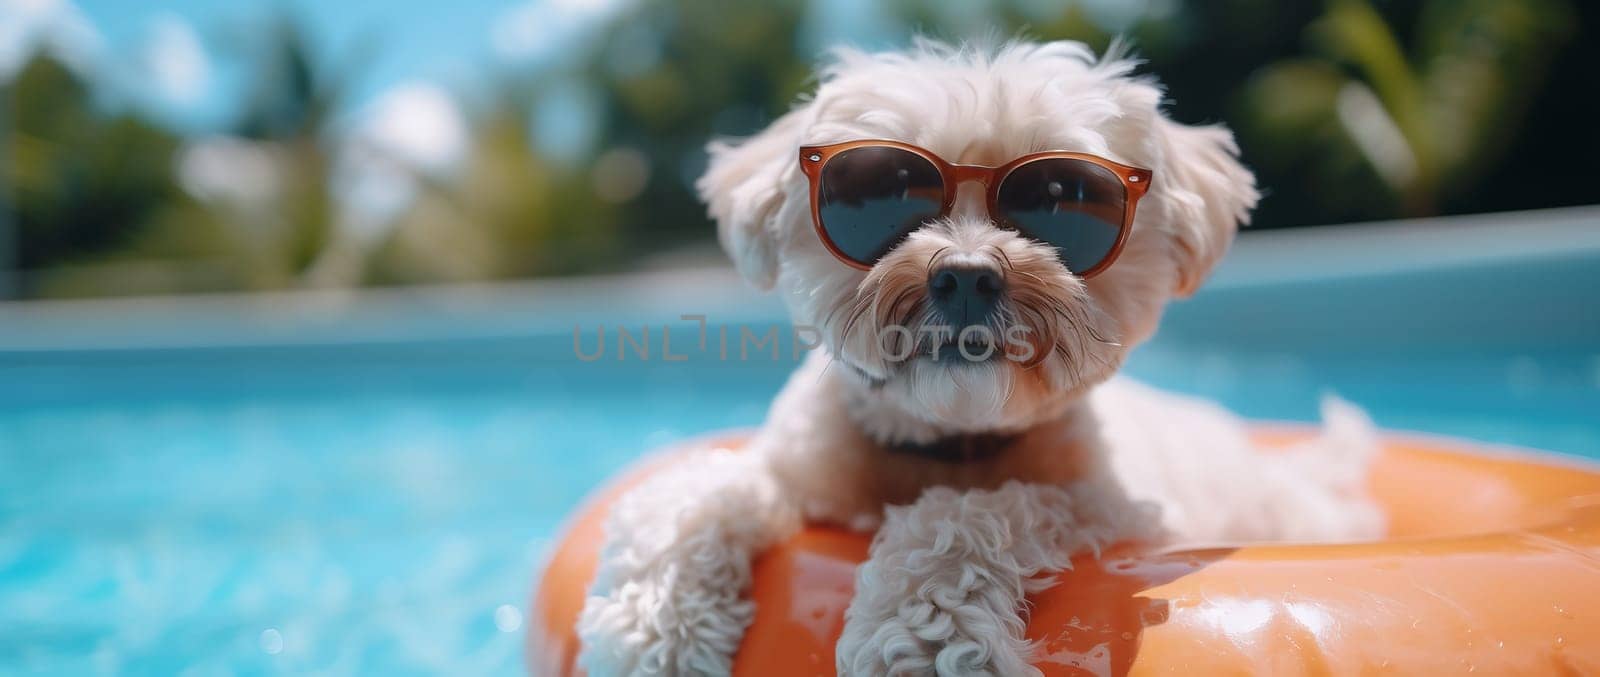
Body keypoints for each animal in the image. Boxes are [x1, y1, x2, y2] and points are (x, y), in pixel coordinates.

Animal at [579, 39, 1388, 675]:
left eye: (1061, 196)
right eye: (881, 190)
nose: (966, 275)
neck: (940, 441)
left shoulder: (1123, 514)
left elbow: (977, 509)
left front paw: (918, 638)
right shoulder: (796, 468)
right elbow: (695, 491)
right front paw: (655, 625)